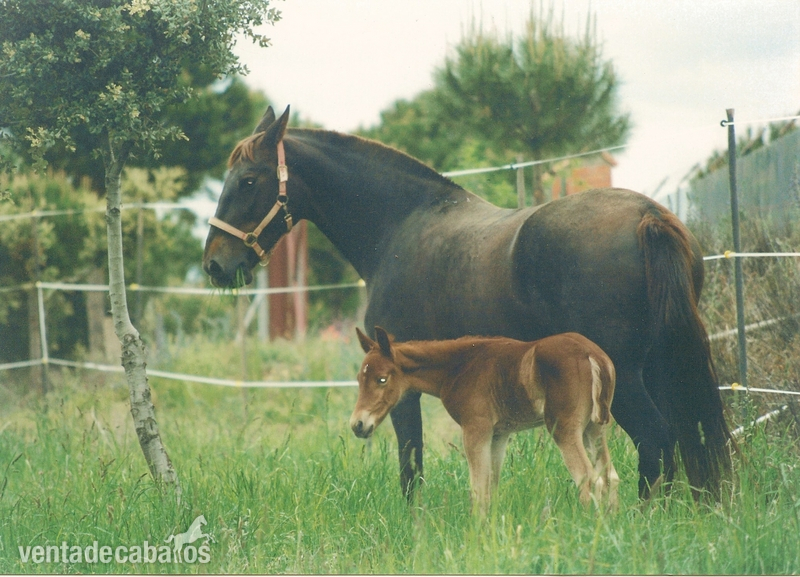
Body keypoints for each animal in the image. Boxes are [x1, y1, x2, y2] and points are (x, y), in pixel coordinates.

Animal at [352, 327, 619, 512]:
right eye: (359, 378)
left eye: (382, 379)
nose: (357, 425)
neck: (457, 367)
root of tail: (592, 355)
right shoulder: (499, 434)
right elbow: (492, 486)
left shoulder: (475, 428)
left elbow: (478, 489)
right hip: (594, 428)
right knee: (610, 477)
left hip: (564, 428)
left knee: (588, 479)